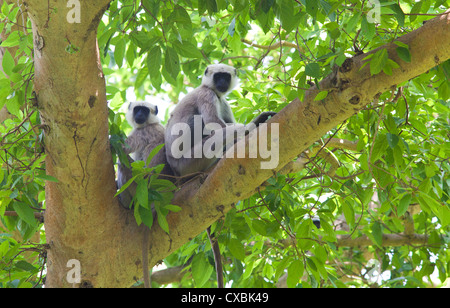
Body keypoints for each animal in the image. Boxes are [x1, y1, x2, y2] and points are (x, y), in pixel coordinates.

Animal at [115, 100, 173, 288]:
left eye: (145, 110)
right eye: (137, 109)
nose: (140, 115)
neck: (150, 123)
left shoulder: (142, 133)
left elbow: (121, 150)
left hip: (138, 185)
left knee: (123, 163)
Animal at [164, 63, 274, 288]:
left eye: (225, 77)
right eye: (217, 77)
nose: (222, 83)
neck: (213, 90)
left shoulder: (222, 100)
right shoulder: (207, 95)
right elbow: (219, 126)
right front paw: (254, 124)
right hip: (189, 161)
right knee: (210, 129)